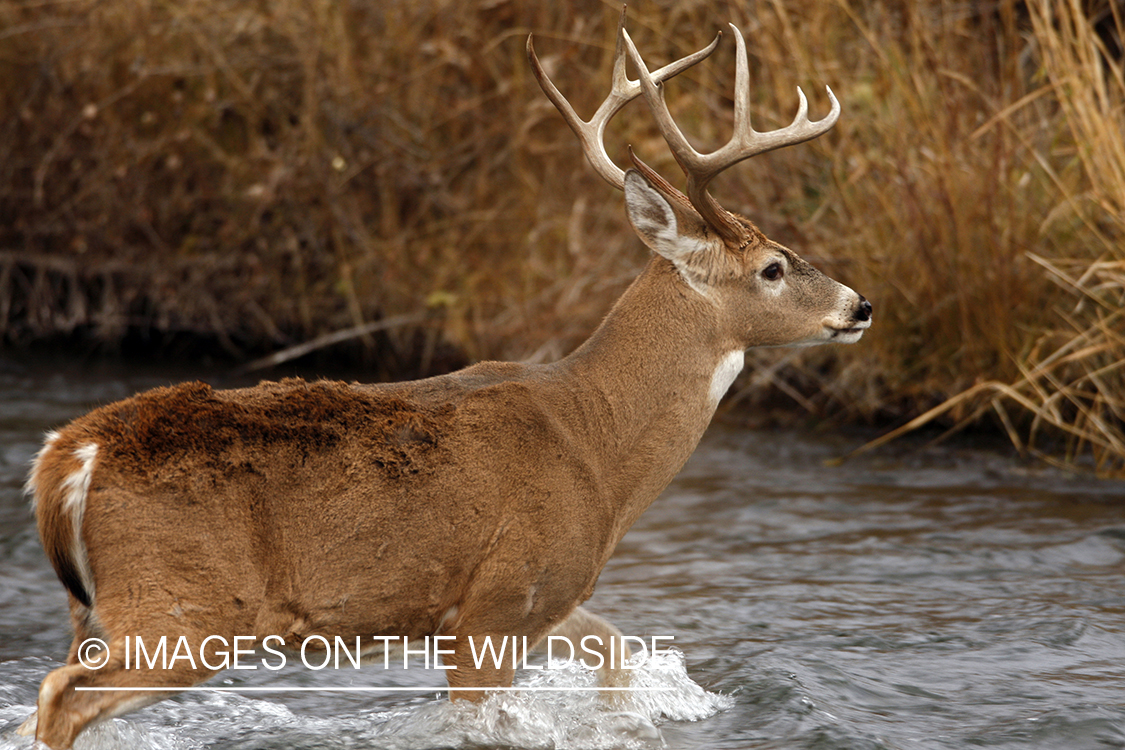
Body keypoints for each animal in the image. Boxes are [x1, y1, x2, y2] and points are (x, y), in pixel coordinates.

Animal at [20, 10, 871, 749]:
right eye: (772, 267)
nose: (859, 305)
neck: (595, 441)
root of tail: (67, 457)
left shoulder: (547, 591)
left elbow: (616, 652)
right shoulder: (495, 599)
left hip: (100, 608)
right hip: (184, 606)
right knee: (60, 696)